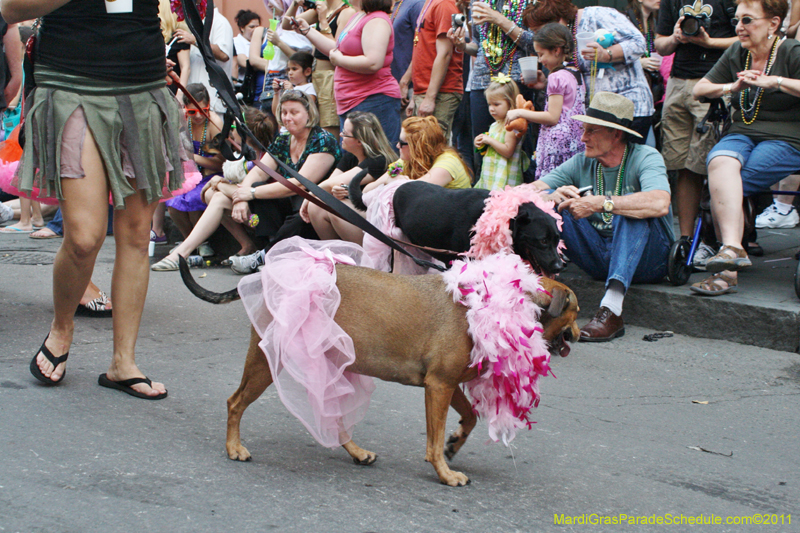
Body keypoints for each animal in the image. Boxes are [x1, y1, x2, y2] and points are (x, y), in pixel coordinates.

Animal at [182, 260, 580, 484]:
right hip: (265, 362)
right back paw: (234, 448)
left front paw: (454, 444)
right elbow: (433, 439)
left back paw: (357, 453)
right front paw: (444, 472)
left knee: (335, 420)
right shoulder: (438, 386)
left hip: (332, 364)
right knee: (235, 402)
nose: (581, 333)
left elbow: (469, 418)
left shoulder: (447, 385)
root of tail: (275, 275)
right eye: (575, 309)